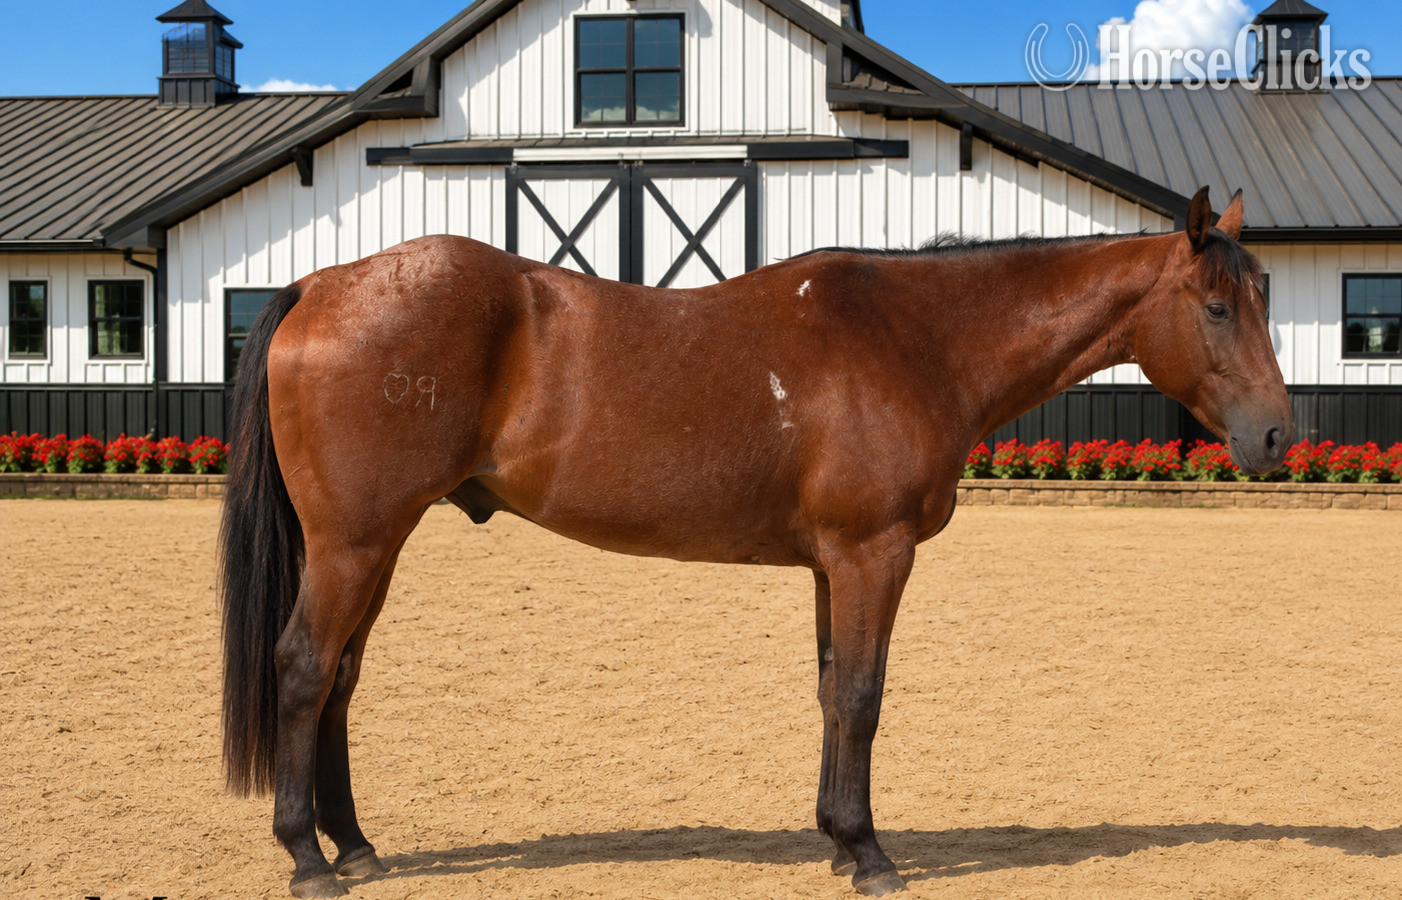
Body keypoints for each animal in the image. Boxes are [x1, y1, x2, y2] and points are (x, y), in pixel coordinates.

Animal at [218, 186, 1292, 897]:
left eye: (1266, 296)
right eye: (1216, 306)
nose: (1279, 436)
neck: (916, 339)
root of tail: (320, 284)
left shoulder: (833, 564)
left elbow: (829, 691)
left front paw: (836, 839)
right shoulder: (873, 554)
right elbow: (861, 696)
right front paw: (870, 854)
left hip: (375, 545)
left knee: (340, 680)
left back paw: (355, 844)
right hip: (355, 543)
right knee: (305, 668)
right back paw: (308, 859)